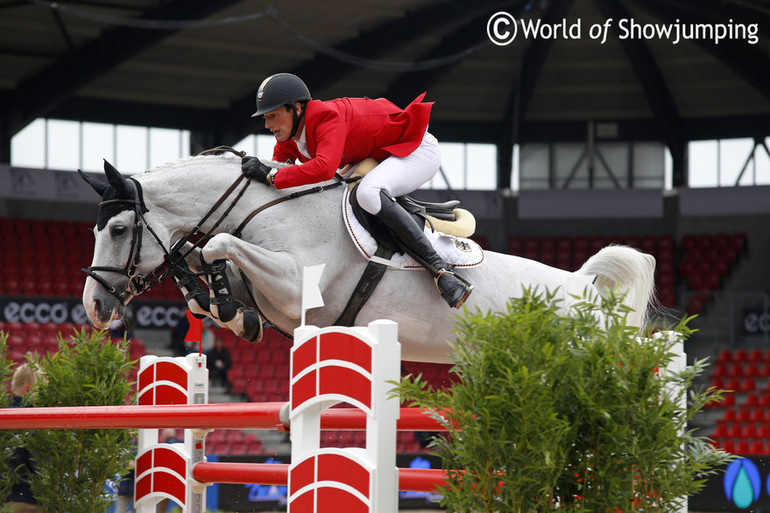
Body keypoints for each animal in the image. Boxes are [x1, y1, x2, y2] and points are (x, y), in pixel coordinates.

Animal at [79, 154, 656, 362]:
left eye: (119, 229)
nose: (94, 308)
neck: (267, 207)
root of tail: (583, 285)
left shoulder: (298, 285)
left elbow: (217, 246)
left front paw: (217, 293)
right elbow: (213, 272)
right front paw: (226, 309)